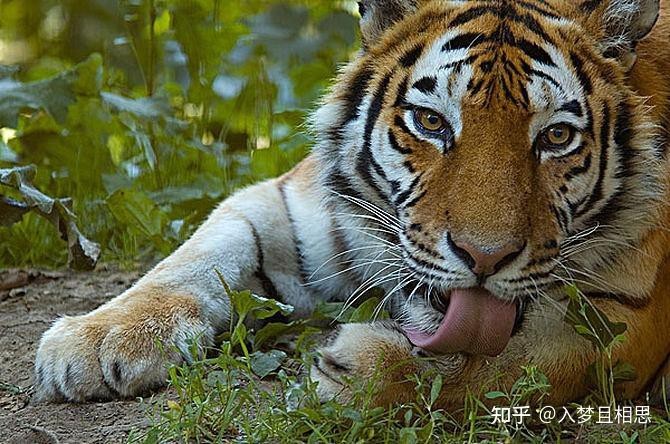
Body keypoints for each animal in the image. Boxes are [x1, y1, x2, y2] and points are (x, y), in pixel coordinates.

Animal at [34, 0, 670, 410]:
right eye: (431, 123)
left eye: (556, 137)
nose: (484, 258)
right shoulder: (287, 204)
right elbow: (192, 259)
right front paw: (97, 341)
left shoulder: (628, 315)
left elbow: (516, 365)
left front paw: (357, 370)